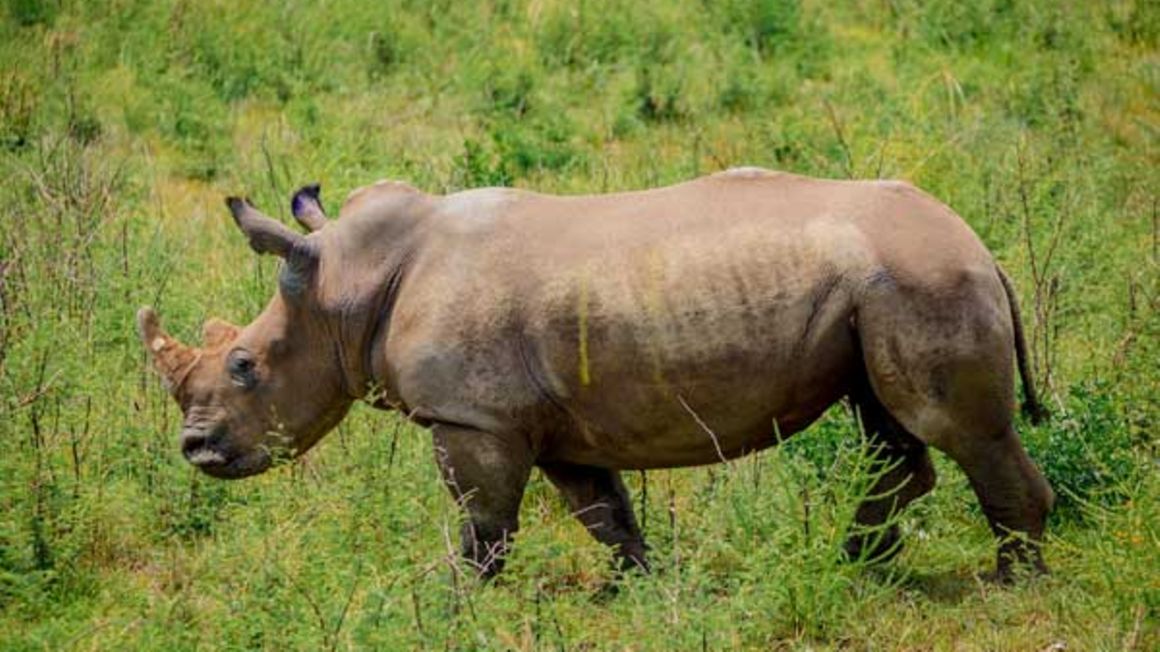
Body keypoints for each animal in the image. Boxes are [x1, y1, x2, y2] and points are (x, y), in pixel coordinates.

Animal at [135, 168, 1053, 577]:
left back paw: (1009, 584)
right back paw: (856, 566)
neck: (345, 288)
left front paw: (447, 602)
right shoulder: (546, 421)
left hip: (924, 279)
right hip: (883, 287)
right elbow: (603, 513)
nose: (196, 451)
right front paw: (645, 589)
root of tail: (980, 244)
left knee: (954, 429)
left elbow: (484, 526)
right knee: (888, 428)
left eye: (246, 365)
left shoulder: (471, 415)